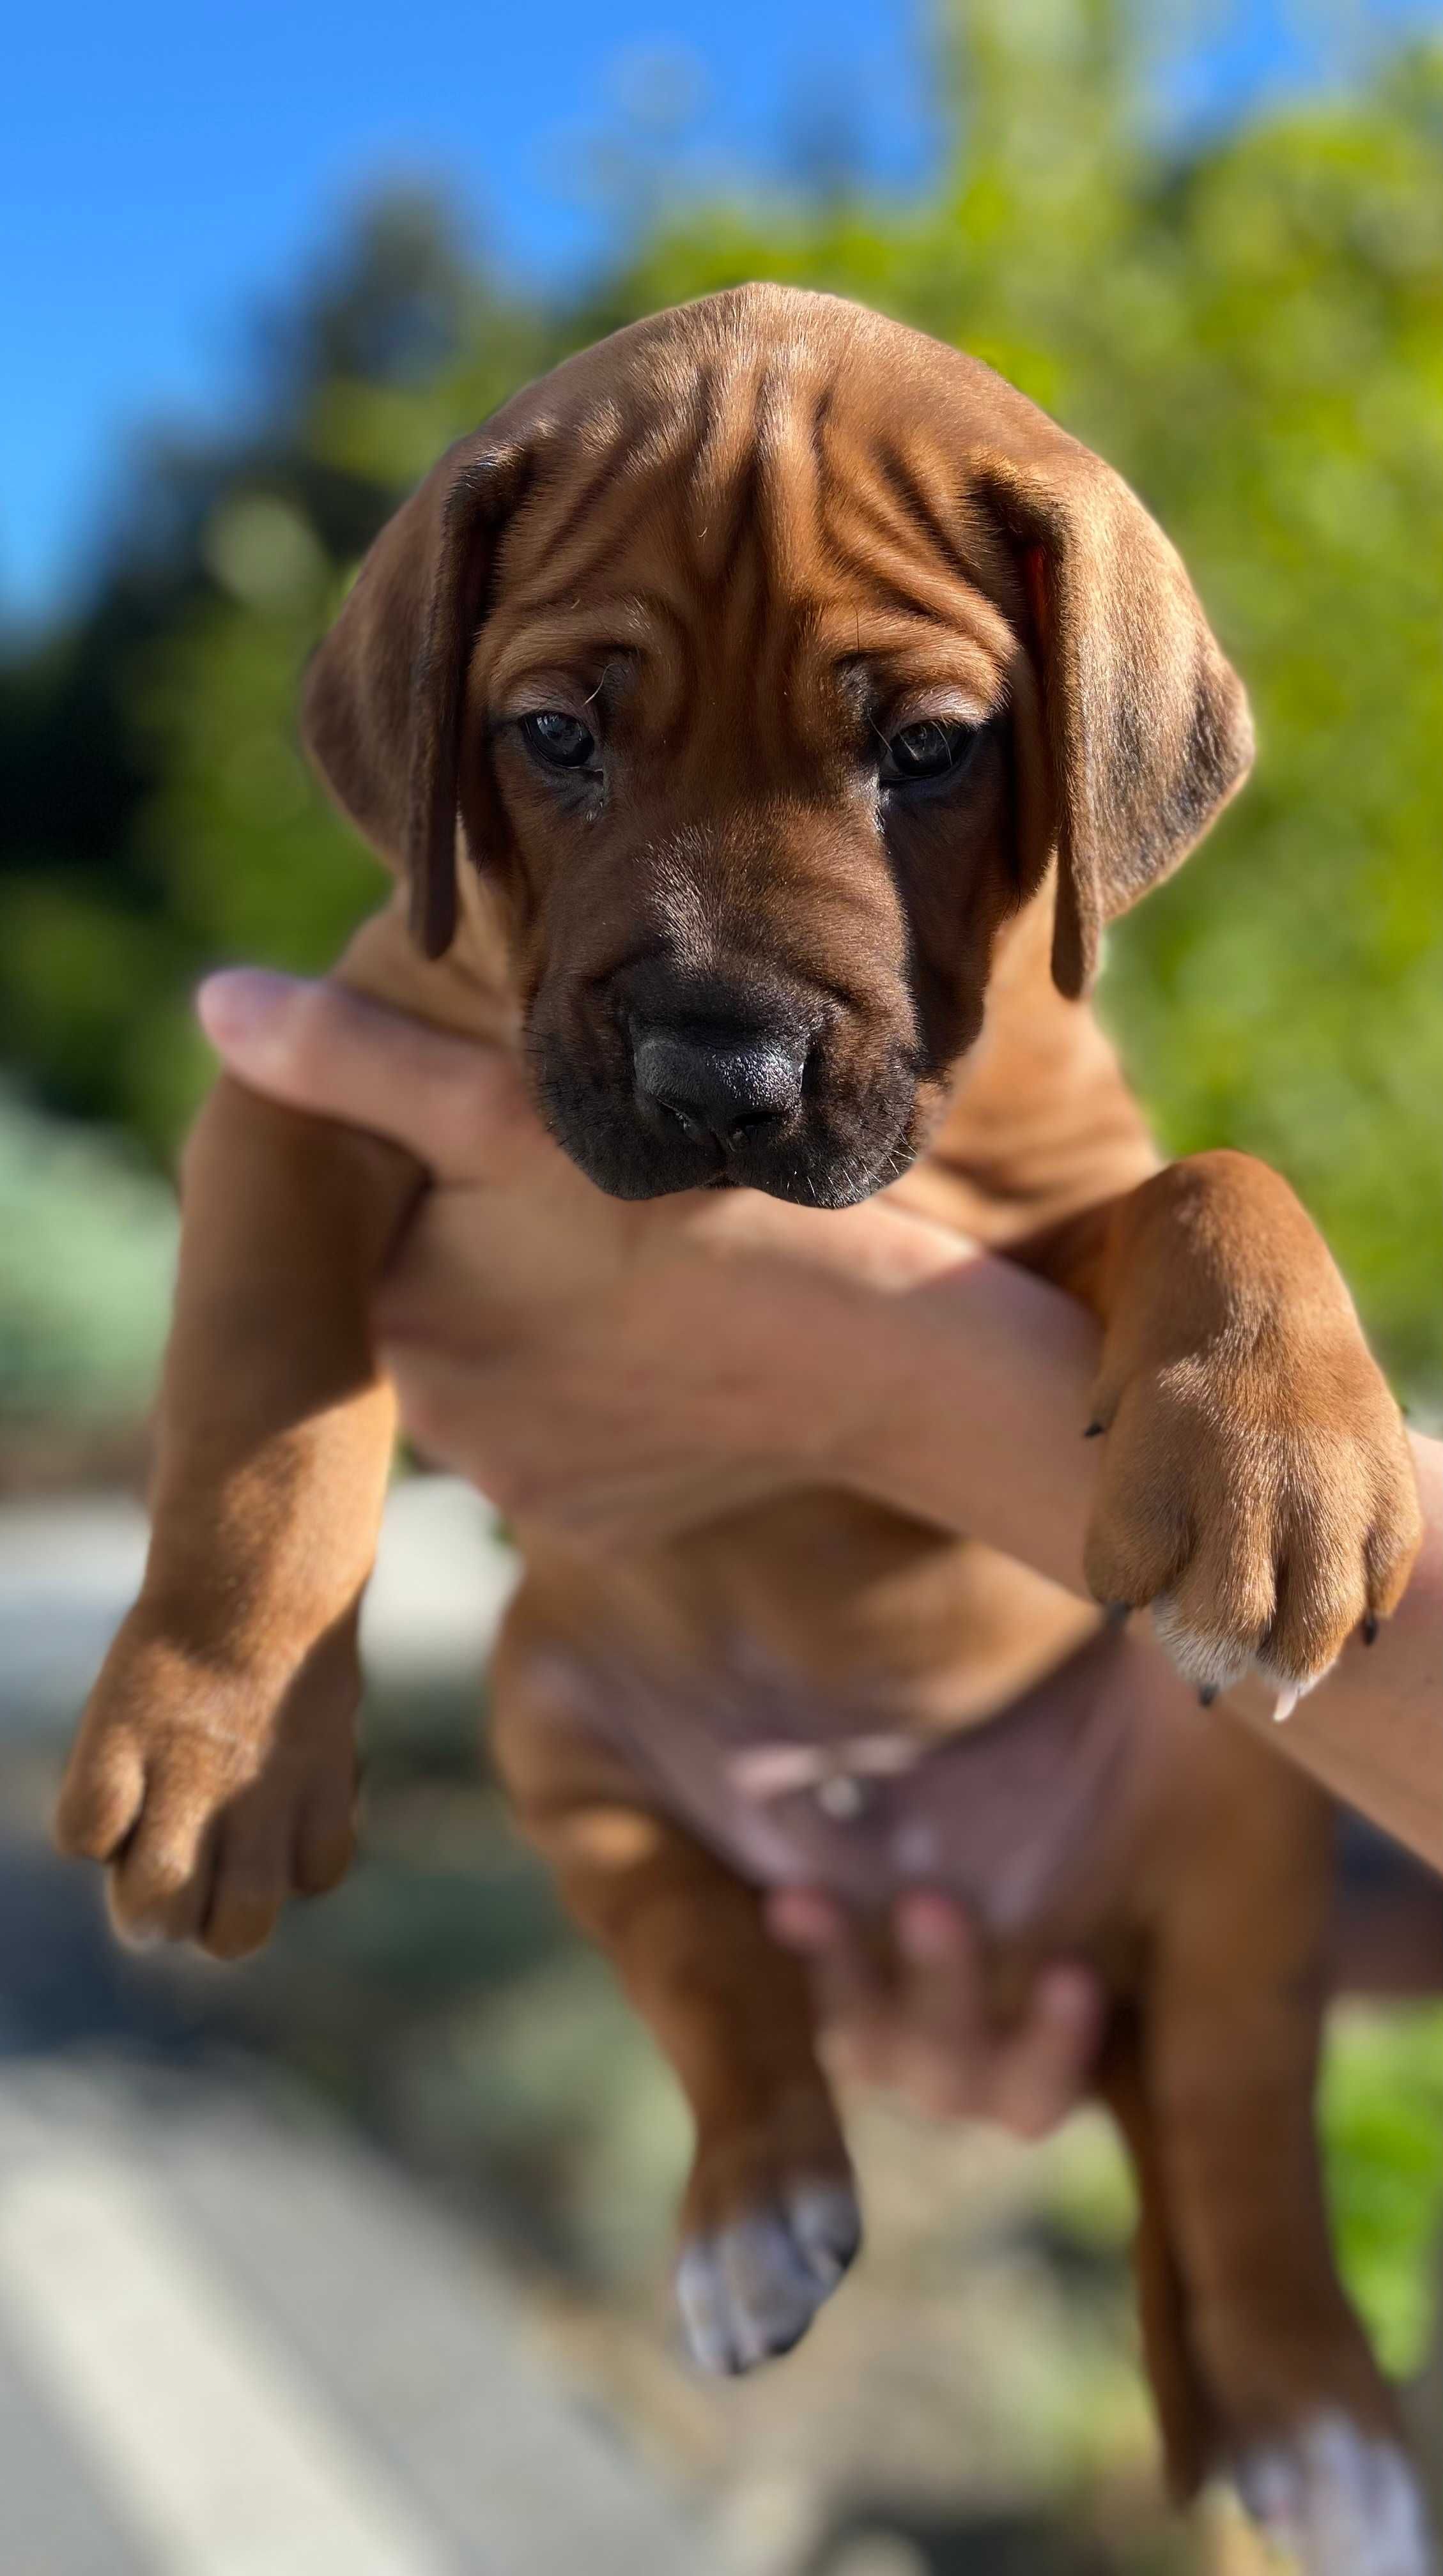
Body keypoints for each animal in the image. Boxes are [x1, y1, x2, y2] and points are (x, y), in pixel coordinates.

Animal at [56, 292, 1422, 2565]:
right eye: (553, 735)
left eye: (929, 750)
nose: (718, 1074)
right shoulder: (299, 1096)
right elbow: (261, 1407)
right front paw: (219, 1734)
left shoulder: (1039, 1211)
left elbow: (1221, 1179)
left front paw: (1284, 1450)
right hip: (549, 1706)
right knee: (700, 1962)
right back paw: (752, 2213)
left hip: (1232, 1814)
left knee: (1235, 2122)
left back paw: (1317, 2415)